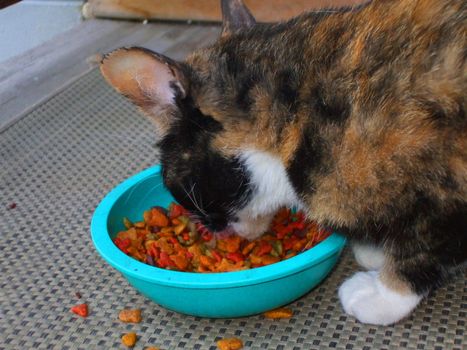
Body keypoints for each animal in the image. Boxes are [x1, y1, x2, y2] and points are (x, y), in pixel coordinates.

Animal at [100, 0, 466, 326]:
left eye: (173, 181)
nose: (207, 228)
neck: (299, 117)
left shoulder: (447, 193)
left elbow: (422, 251)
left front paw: (382, 295)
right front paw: (376, 247)